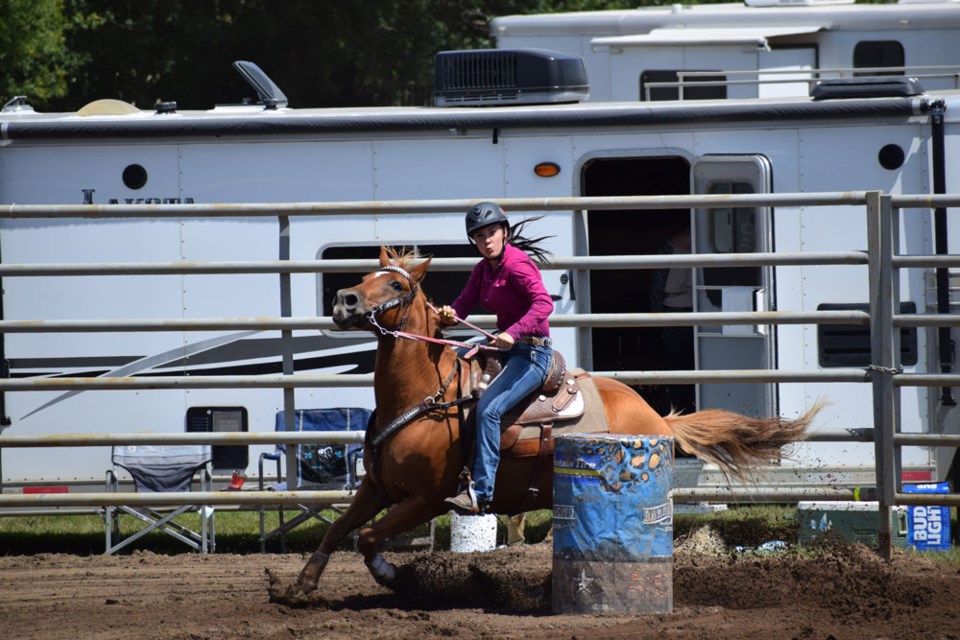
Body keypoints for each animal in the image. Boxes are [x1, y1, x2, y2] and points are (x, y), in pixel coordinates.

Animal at [298, 248, 816, 592]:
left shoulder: (427, 498)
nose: (344, 300)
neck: (424, 394)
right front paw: (303, 582)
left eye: (397, 285)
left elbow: (367, 536)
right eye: (365, 274)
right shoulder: (377, 487)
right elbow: (340, 528)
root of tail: (659, 419)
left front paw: (391, 573)